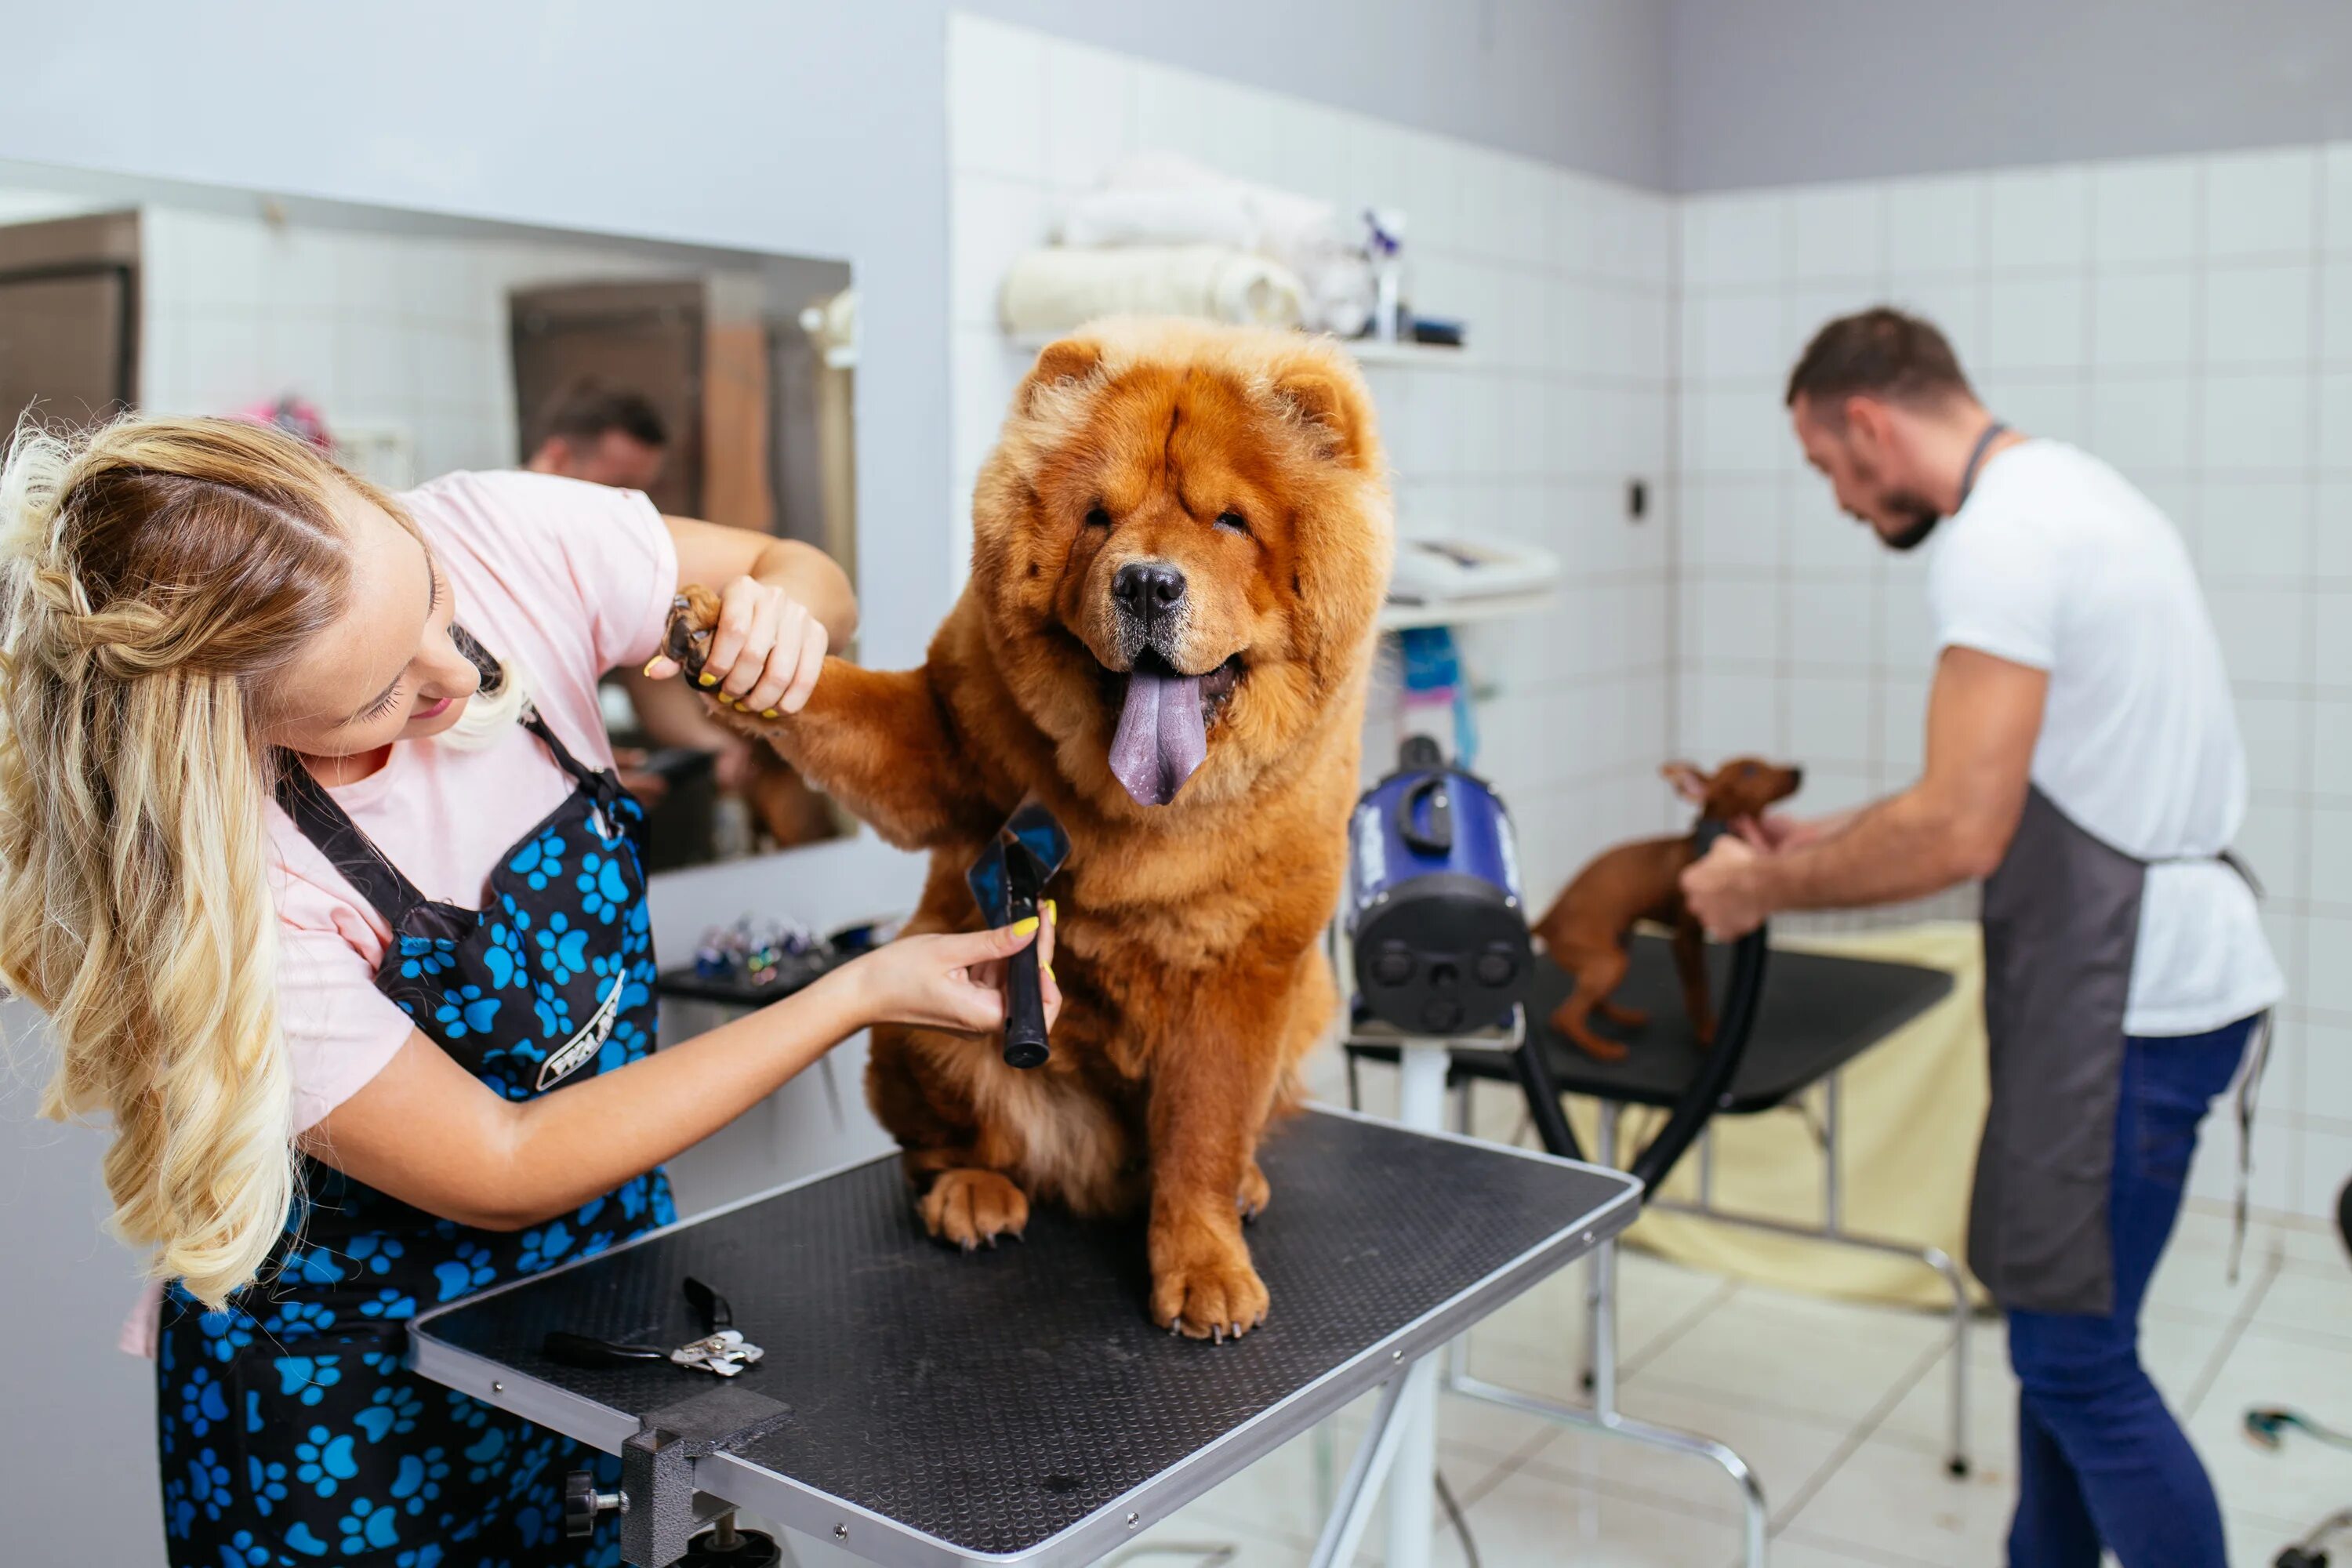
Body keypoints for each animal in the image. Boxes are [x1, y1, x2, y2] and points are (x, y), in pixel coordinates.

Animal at [1534, 761, 1806, 1067]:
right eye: (1750, 770)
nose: (1798, 771)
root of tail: (1547, 919)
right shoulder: (1685, 939)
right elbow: (1698, 988)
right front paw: (1706, 1034)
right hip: (1609, 961)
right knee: (1565, 1016)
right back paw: (1602, 1048)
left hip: (1616, 949)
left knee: (1591, 1003)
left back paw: (1625, 1018)